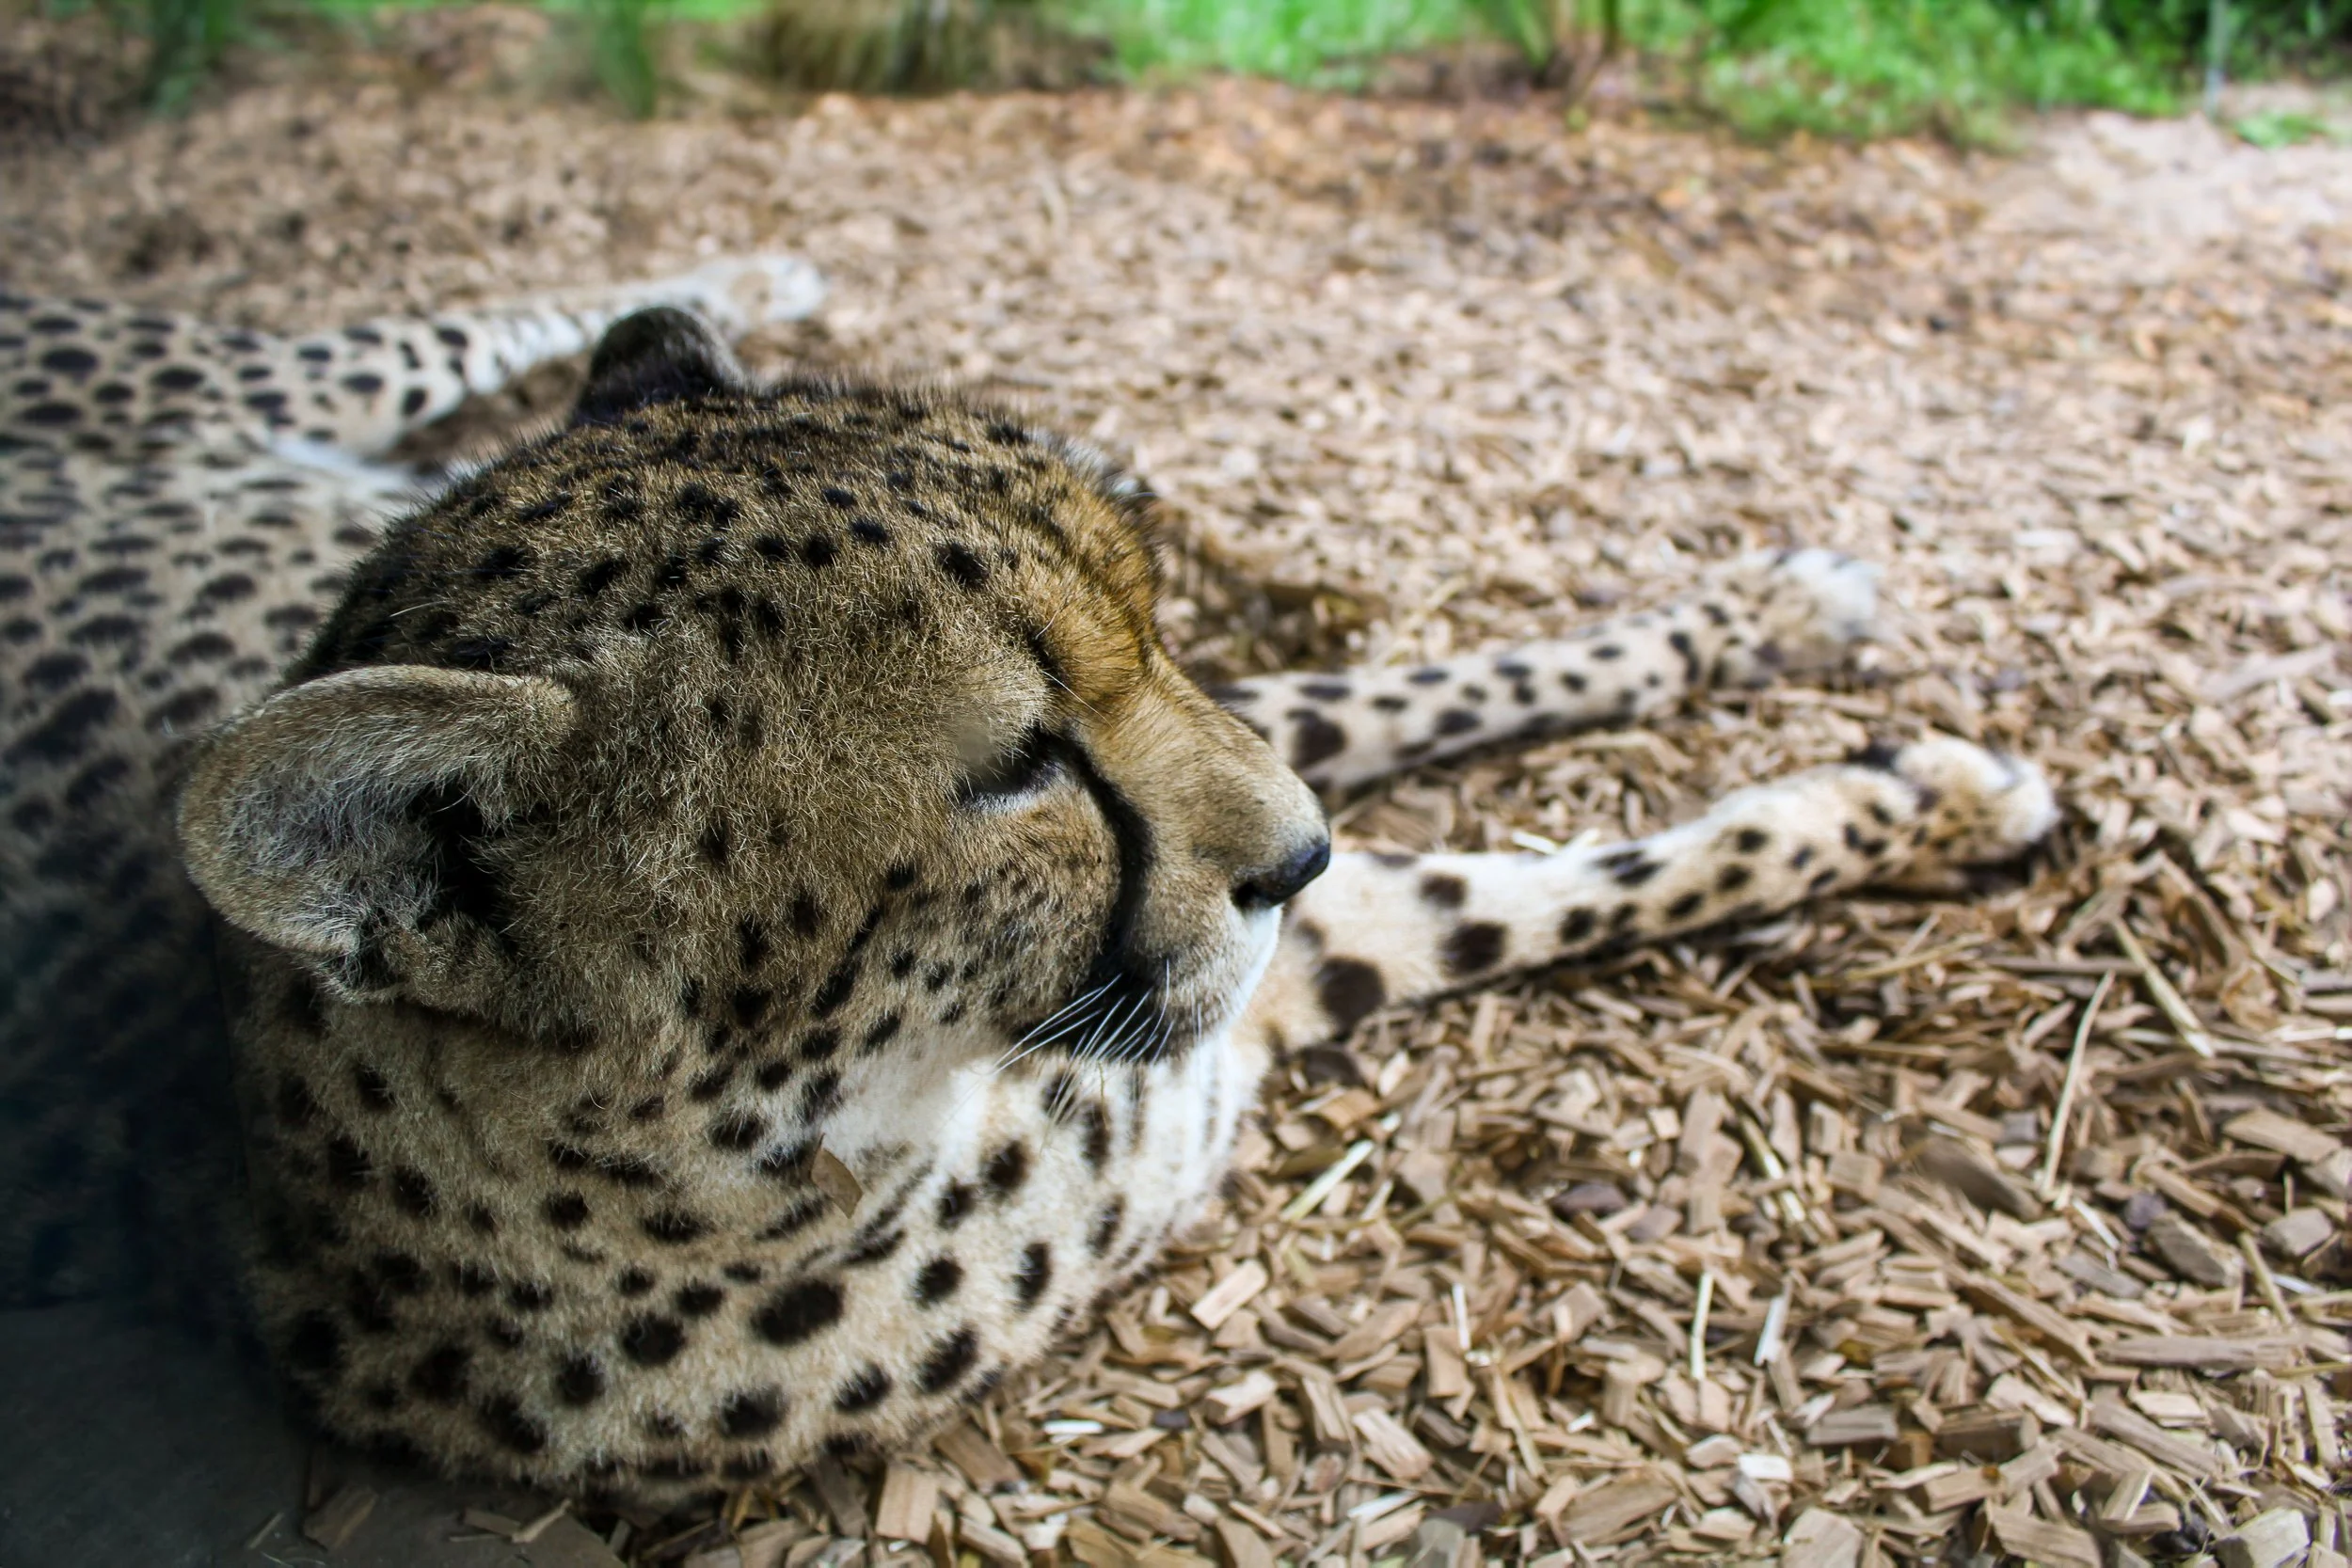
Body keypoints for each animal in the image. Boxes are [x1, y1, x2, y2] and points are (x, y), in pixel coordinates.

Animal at [0, 266, 2057, 1505]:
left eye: (1143, 634)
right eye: (1012, 765)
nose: (1292, 850)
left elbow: (1440, 699)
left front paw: (1795, 636)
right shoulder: (1227, 1013)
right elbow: (1544, 877)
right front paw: (1929, 793)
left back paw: (735, 288)